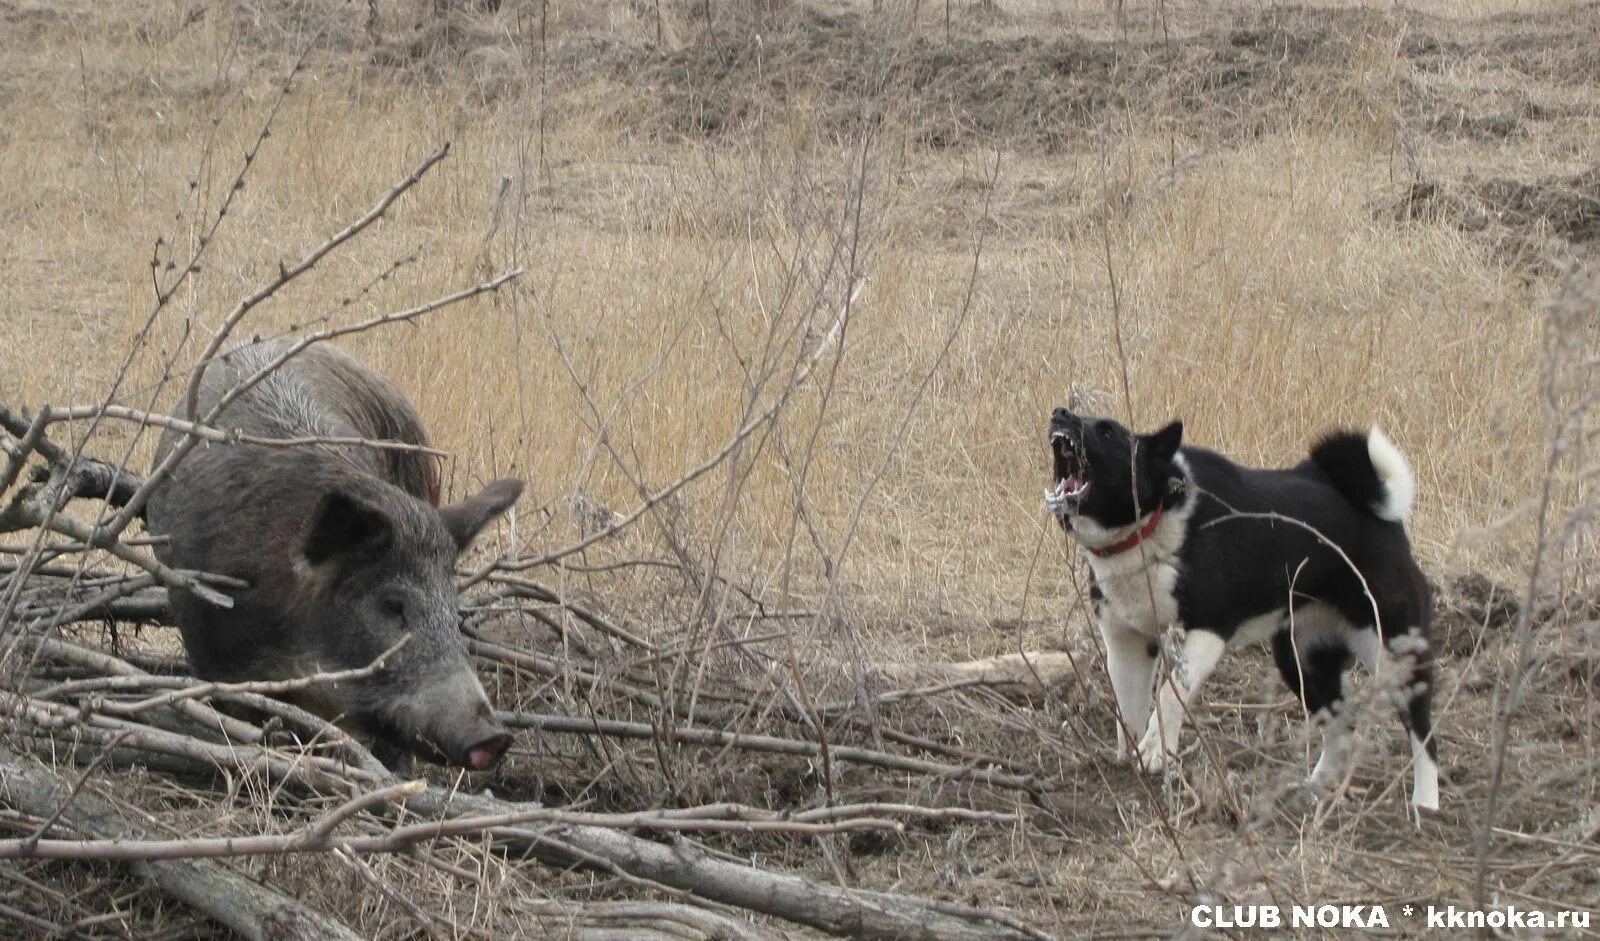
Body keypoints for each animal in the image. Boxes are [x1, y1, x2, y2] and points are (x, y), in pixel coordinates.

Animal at [1049, 408, 1440, 812]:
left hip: (1394, 653)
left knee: (1423, 730)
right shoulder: (1128, 642)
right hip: (1301, 660)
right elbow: (1127, 708)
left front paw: (1157, 751)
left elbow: (1169, 694)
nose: (1060, 412)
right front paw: (1133, 757)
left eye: (1107, 431)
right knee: (1340, 726)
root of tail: (1380, 514)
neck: (1150, 523)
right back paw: (1314, 790)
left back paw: (1425, 804)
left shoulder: (1207, 631)